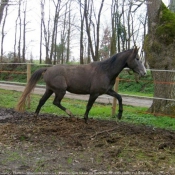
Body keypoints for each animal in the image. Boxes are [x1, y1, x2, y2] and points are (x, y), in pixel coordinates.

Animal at [15, 47, 146, 122]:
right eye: (137, 58)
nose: (144, 73)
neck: (105, 70)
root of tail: (48, 69)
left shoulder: (107, 91)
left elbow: (120, 97)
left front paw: (119, 115)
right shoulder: (94, 93)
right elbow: (89, 106)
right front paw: (86, 119)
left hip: (50, 89)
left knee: (42, 101)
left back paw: (36, 116)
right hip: (60, 91)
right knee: (56, 102)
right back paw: (71, 114)